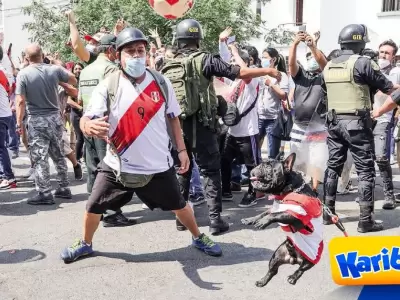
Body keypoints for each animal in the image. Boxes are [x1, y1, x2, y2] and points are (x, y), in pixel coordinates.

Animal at [241, 154, 324, 288]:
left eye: (268, 167)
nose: (257, 165)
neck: (288, 190)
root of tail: (294, 260)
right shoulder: (276, 207)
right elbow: (265, 212)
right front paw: (250, 219)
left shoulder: (296, 214)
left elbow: (276, 214)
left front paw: (263, 222)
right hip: (277, 254)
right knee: (273, 271)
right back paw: (262, 281)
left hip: (311, 260)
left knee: (301, 269)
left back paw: (293, 277)